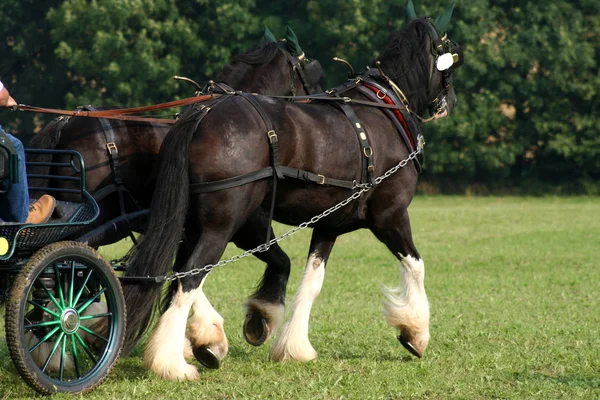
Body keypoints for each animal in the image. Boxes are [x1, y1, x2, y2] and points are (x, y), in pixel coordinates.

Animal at [125, 14, 464, 380]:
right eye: (448, 56)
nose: (450, 102)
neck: (384, 107)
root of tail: (202, 113)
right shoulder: (390, 215)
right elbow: (416, 265)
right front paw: (415, 332)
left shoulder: (329, 224)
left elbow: (311, 280)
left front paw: (291, 344)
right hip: (221, 225)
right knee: (189, 275)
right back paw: (172, 362)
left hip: (193, 223)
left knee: (175, 272)